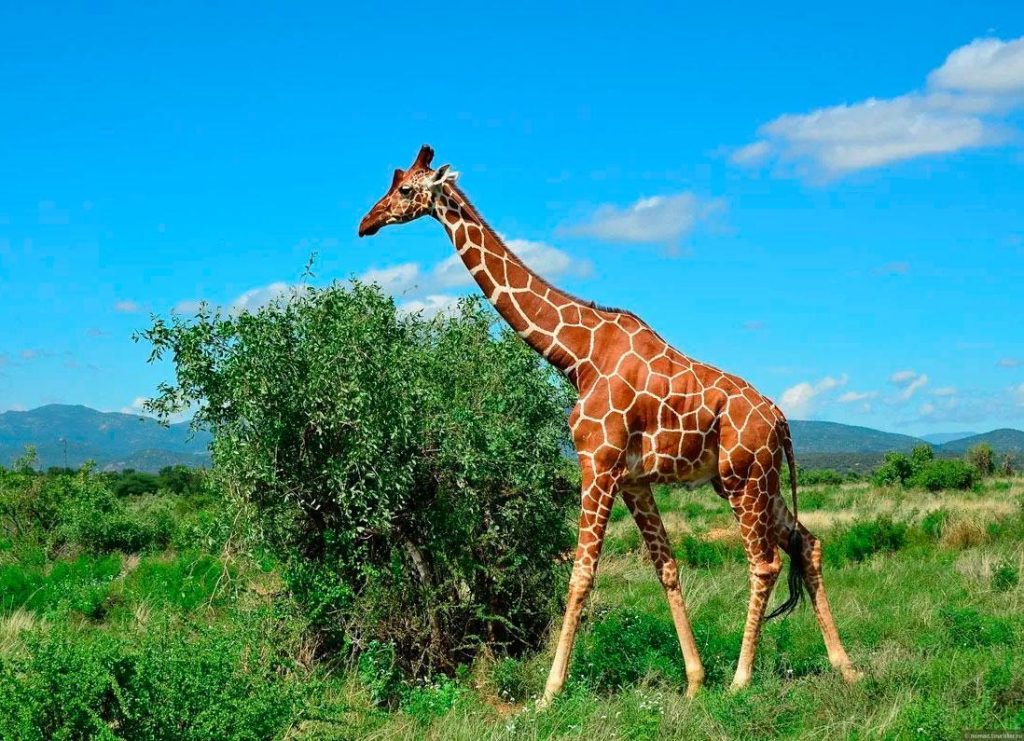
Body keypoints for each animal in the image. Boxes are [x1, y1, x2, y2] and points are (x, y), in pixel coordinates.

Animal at [356, 146, 860, 708]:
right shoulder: (634, 479)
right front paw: (693, 680)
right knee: (807, 544)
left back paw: (742, 678)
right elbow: (666, 567)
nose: (365, 223)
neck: (577, 355)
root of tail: (782, 419)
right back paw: (845, 667)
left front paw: (549, 692)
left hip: (743, 480)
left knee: (765, 562)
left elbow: (580, 574)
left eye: (404, 190)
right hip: (757, 480)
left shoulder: (596, 462)